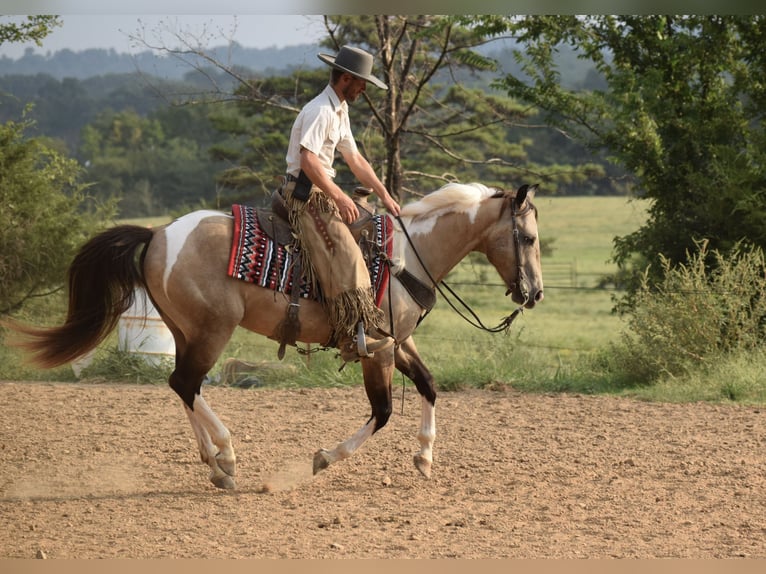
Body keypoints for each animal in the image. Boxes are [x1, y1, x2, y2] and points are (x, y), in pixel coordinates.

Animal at [8, 182, 544, 490]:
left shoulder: (398, 341)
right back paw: (226, 455)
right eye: (528, 238)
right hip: (212, 330)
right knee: (186, 383)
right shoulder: (378, 349)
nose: (534, 292)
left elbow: (430, 386)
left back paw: (214, 465)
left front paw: (425, 458)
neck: (407, 256)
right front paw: (324, 459)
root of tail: (159, 234)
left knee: (184, 386)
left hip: (186, 331)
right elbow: (383, 411)